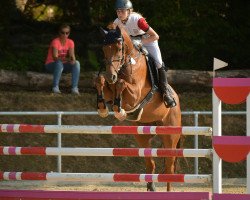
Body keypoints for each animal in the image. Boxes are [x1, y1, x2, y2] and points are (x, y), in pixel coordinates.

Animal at [94, 24, 181, 191]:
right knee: (151, 163)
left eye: (119, 48)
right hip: (142, 134)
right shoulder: (109, 88)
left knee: (170, 166)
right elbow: (100, 80)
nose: (110, 76)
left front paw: (119, 110)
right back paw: (151, 188)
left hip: (170, 135)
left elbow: (121, 83)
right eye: (103, 49)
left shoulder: (135, 96)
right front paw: (103, 107)